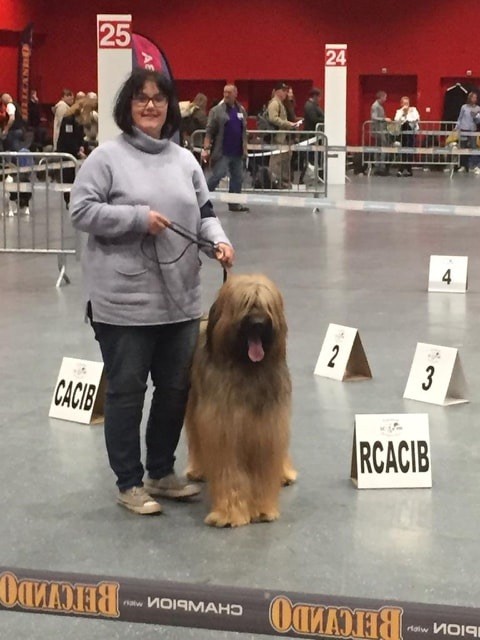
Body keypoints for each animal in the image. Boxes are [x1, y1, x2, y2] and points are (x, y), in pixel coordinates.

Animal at [185, 272, 294, 528]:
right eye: (245, 303)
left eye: (266, 305)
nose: (258, 323)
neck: (248, 370)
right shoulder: (223, 430)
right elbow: (229, 474)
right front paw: (229, 513)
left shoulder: (267, 427)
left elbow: (264, 470)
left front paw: (263, 509)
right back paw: (198, 469)